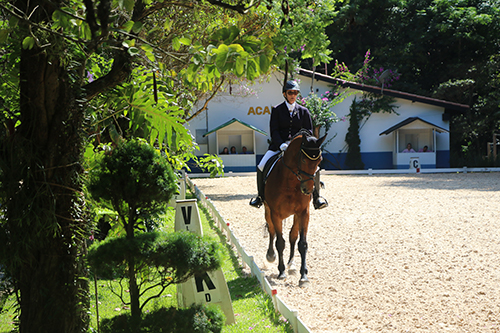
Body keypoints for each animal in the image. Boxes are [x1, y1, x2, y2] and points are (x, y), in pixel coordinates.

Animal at [264, 130, 326, 286]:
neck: (291, 181)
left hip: (296, 215)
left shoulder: (303, 212)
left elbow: (302, 243)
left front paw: (303, 276)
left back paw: (291, 264)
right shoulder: (275, 214)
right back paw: (271, 255)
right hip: (268, 211)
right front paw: (281, 272)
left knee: (292, 235)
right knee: (272, 231)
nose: (307, 190)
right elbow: (280, 242)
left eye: (319, 161)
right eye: (303, 160)